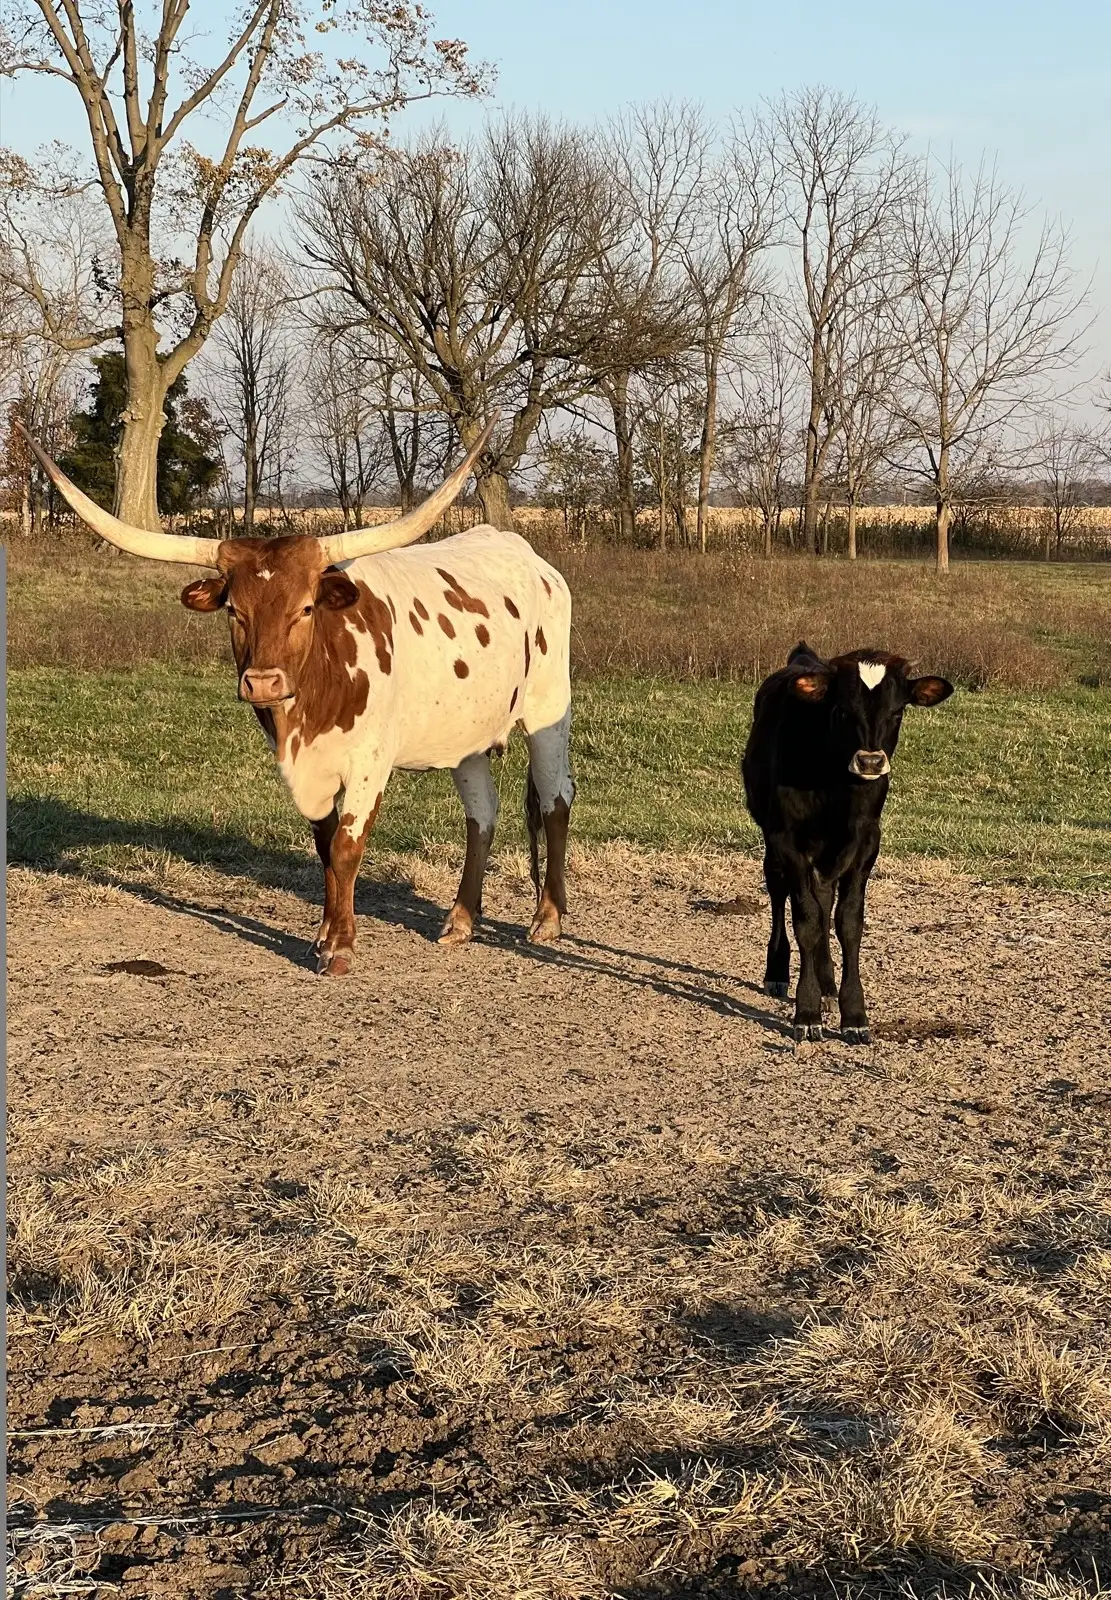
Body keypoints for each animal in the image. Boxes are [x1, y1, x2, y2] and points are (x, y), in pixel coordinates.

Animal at [21, 421, 576, 976]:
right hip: (464, 736)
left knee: (556, 800)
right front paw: (324, 936)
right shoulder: (307, 770)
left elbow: (348, 848)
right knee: (482, 813)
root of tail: (530, 557)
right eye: (234, 611)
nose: (263, 683)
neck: (311, 709)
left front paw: (342, 948)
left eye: (306, 608)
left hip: (548, 710)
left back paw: (547, 919)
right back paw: (460, 920)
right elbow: (325, 849)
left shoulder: (369, 763)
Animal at [742, 642, 953, 1044]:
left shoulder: (866, 843)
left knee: (824, 899)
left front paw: (853, 1013)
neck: (836, 789)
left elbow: (848, 921)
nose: (870, 761)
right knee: (780, 893)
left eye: (897, 711)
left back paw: (827, 984)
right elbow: (806, 919)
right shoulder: (788, 841)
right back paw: (778, 972)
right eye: (841, 710)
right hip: (773, 842)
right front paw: (807, 1011)